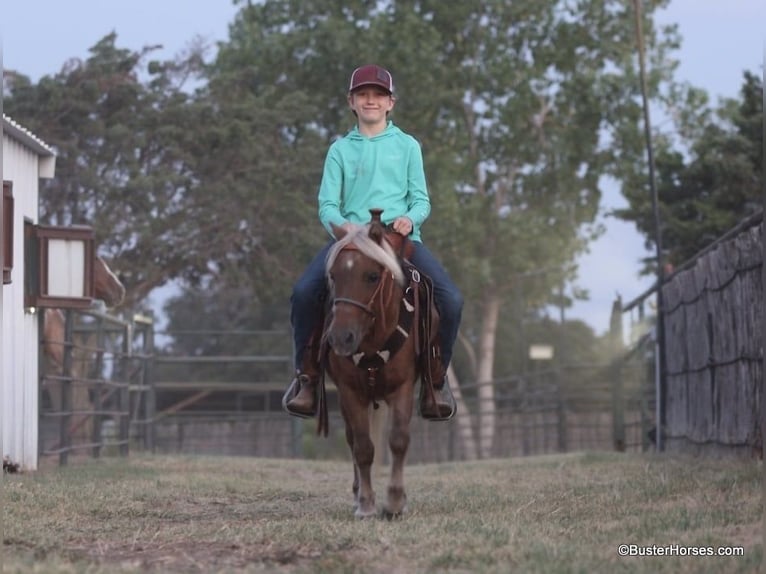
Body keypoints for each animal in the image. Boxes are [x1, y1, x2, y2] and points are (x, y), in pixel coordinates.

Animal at [322, 212, 428, 520]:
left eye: (372, 276)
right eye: (333, 276)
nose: (341, 338)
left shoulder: (403, 387)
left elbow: (398, 440)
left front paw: (394, 501)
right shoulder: (350, 392)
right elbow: (363, 447)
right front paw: (367, 504)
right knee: (351, 440)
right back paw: (358, 494)